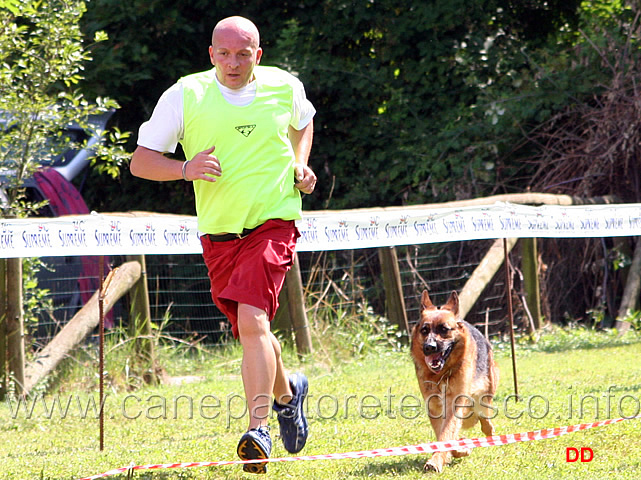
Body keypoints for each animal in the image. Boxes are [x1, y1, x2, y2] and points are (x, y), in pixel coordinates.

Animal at [410, 290, 500, 470]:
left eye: (444, 329)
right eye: (424, 330)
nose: (429, 347)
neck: (441, 374)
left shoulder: (454, 403)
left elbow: (446, 433)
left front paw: (437, 460)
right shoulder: (435, 407)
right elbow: (443, 434)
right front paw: (457, 450)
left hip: (486, 390)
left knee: (484, 415)